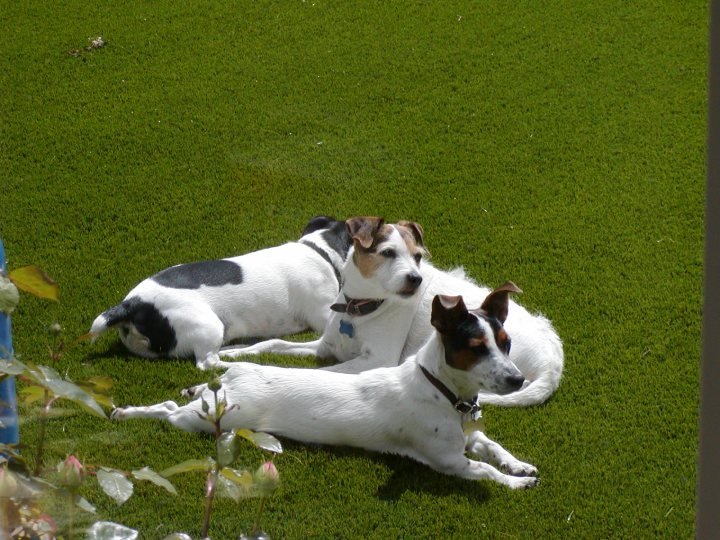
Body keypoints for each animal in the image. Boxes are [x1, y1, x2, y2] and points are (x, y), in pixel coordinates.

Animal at [112, 288, 540, 492]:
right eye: (475, 348)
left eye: (506, 343)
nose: (517, 380)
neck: (444, 394)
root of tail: (235, 374)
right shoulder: (448, 461)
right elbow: (485, 469)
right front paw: (516, 483)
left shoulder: (471, 437)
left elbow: (493, 448)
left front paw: (519, 465)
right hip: (208, 420)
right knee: (168, 410)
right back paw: (128, 412)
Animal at [214, 217, 564, 408]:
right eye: (387, 253)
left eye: (418, 256)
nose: (416, 279)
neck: (361, 309)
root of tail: (553, 361)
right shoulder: (325, 346)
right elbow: (271, 344)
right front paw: (233, 353)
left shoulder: (376, 360)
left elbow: (320, 371)